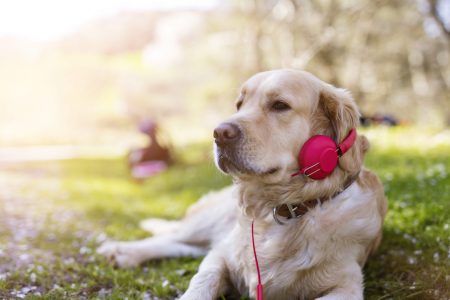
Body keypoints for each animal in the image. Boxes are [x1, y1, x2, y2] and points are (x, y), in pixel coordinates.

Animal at [97, 69, 386, 298]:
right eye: (239, 104)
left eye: (280, 105)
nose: (219, 133)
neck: (282, 209)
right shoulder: (222, 255)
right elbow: (201, 281)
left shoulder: (346, 286)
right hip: (213, 221)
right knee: (173, 236)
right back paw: (120, 250)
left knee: (183, 244)